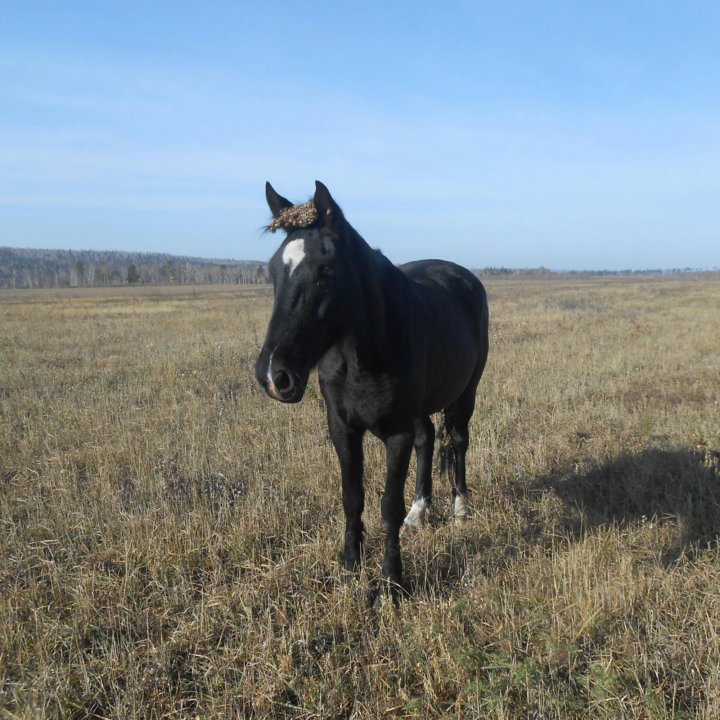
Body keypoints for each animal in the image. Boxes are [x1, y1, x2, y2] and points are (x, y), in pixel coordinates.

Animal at [255, 183, 490, 600]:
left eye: (325, 270)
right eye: (272, 270)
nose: (273, 376)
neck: (360, 356)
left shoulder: (395, 432)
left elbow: (388, 504)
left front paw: (392, 583)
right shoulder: (342, 428)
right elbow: (353, 497)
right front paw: (351, 571)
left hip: (466, 393)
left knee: (458, 440)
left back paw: (460, 508)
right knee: (428, 439)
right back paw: (420, 511)